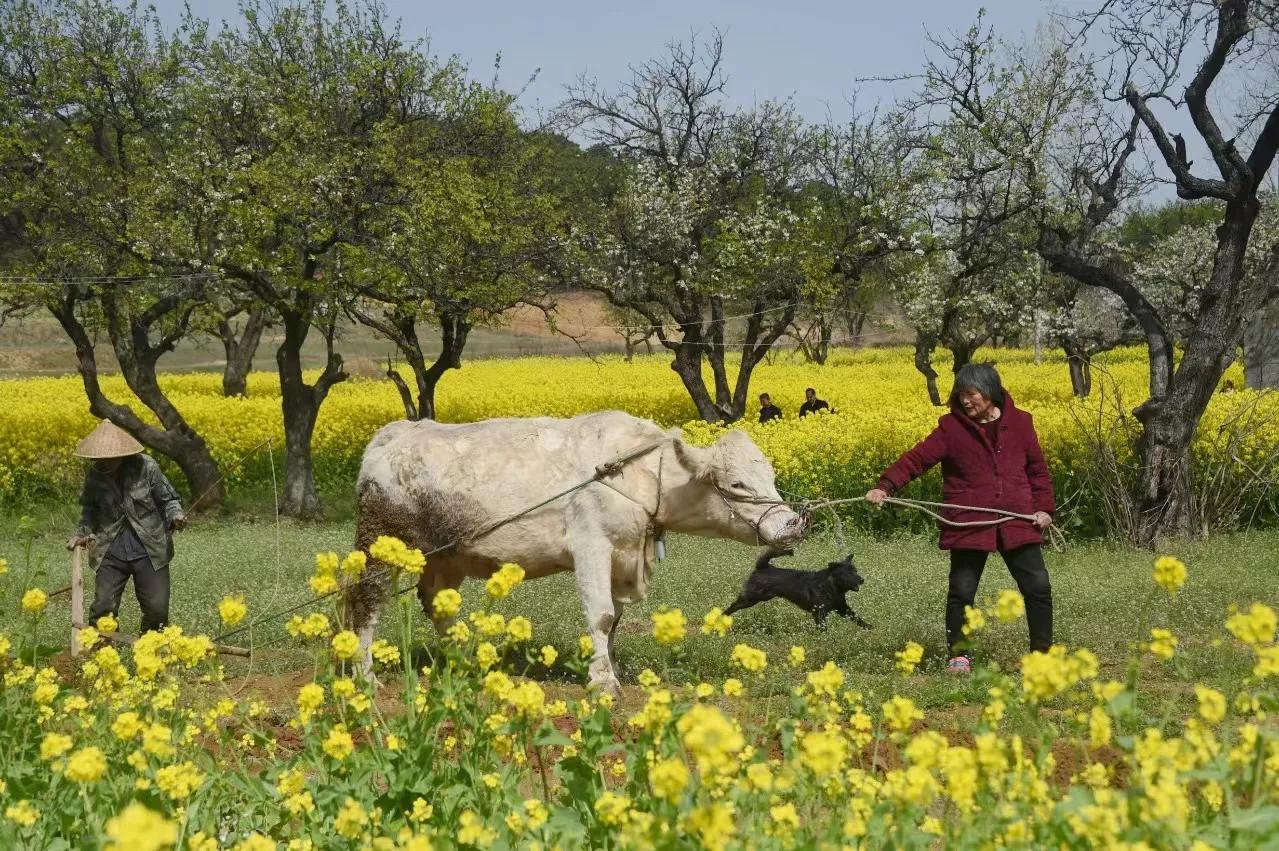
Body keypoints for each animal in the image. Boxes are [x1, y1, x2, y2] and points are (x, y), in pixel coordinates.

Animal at [721, 547, 869, 627]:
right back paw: (721, 618)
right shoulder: (819, 613)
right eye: (848, 573)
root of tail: (762, 567)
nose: (862, 580)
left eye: (855, 571)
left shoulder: (843, 609)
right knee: (733, 606)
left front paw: (870, 630)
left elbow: (860, 621)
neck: (832, 587)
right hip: (750, 598)